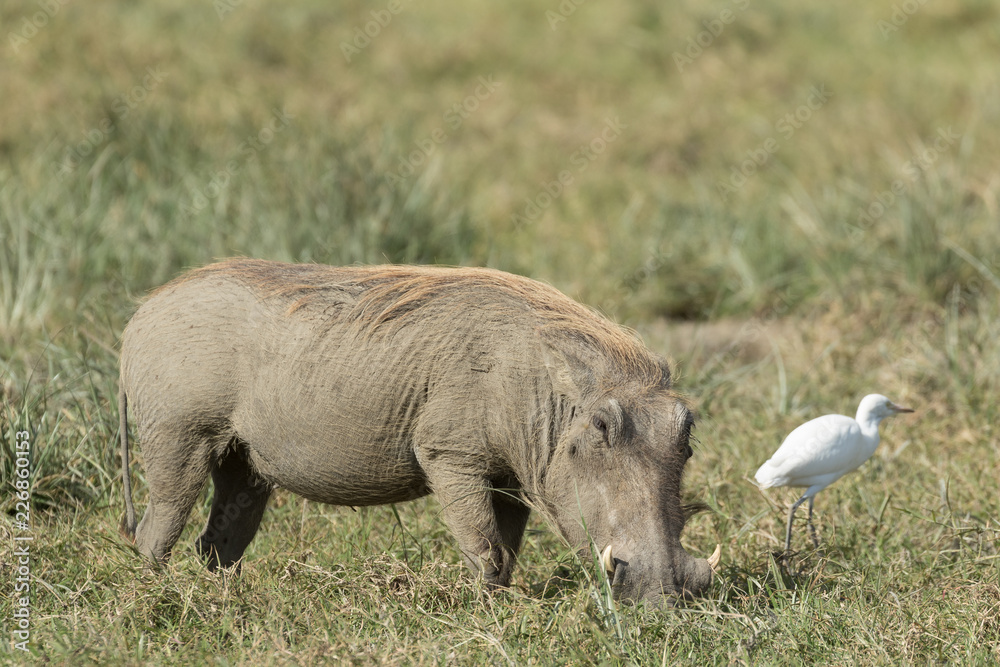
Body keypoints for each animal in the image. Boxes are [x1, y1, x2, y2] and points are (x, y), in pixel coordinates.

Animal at [119, 259, 719, 603]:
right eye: (600, 426)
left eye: (685, 431)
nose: (663, 594)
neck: (531, 385)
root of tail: (140, 314)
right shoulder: (450, 456)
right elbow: (485, 547)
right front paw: (491, 618)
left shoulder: (508, 478)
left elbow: (507, 549)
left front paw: (502, 607)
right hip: (178, 441)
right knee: (156, 531)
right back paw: (157, 602)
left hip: (244, 465)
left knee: (219, 541)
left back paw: (223, 601)